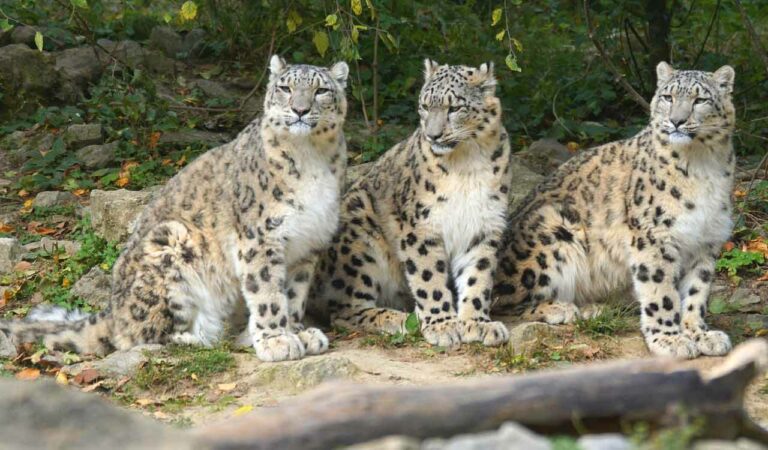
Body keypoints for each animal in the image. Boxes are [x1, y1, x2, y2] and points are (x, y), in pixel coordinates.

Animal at [1, 55, 349, 362]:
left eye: (321, 90)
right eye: (285, 88)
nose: (300, 109)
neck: (311, 158)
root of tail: (112, 310)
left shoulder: (307, 244)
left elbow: (292, 294)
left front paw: (299, 332)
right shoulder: (261, 237)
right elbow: (268, 294)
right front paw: (277, 341)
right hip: (171, 243)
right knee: (137, 337)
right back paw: (195, 338)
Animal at [309, 60, 511, 348]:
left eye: (454, 108)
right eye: (425, 105)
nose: (433, 135)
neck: (466, 162)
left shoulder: (484, 224)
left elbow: (478, 275)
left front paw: (477, 323)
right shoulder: (421, 226)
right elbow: (429, 277)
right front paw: (443, 325)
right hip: (359, 238)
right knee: (344, 310)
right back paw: (401, 319)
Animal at [493, 62, 737, 358]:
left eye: (700, 100)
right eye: (668, 97)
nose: (677, 121)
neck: (702, 164)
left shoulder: (706, 239)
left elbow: (696, 291)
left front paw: (700, 334)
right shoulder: (653, 235)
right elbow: (661, 291)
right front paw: (670, 339)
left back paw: (591, 308)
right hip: (552, 228)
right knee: (502, 301)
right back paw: (561, 308)